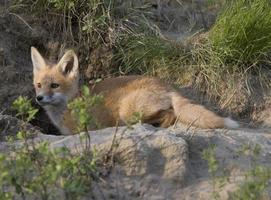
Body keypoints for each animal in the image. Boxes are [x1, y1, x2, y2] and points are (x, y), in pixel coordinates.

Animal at [31, 47, 240, 134]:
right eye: (39, 85)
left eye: (54, 85)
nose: (39, 98)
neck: (71, 102)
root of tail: (167, 86)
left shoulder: (79, 131)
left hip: (127, 111)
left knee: (170, 114)